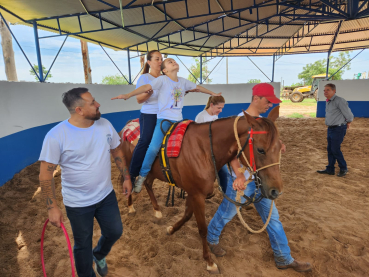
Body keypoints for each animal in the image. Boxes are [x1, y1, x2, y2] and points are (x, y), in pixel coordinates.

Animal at [118, 106, 282, 272]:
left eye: (280, 148)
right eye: (260, 150)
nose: (275, 191)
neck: (204, 149)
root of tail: (126, 126)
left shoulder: (193, 193)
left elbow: (187, 215)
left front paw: (171, 229)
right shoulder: (197, 195)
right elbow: (202, 229)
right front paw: (209, 262)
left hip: (152, 172)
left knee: (147, 183)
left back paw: (157, 211)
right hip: (130, 165)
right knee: (129, 182)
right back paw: (130, 207)